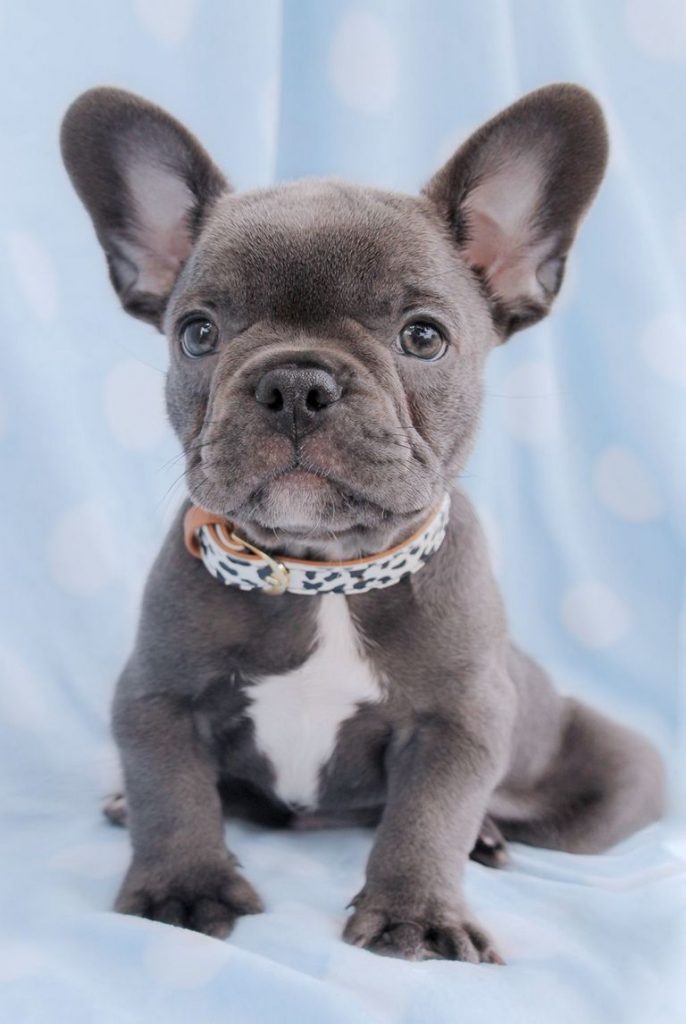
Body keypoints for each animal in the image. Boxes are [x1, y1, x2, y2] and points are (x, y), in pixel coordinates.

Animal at [60, 83, 667, 962]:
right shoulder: (157, 694)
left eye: (424, 337)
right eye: (197, 334)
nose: (295, 384)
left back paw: (489, 837)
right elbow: (171, 791)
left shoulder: (459, 721)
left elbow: (426, 818)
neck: (324, 574)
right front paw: (182, 888)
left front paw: (418, 915)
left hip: (612, 777)